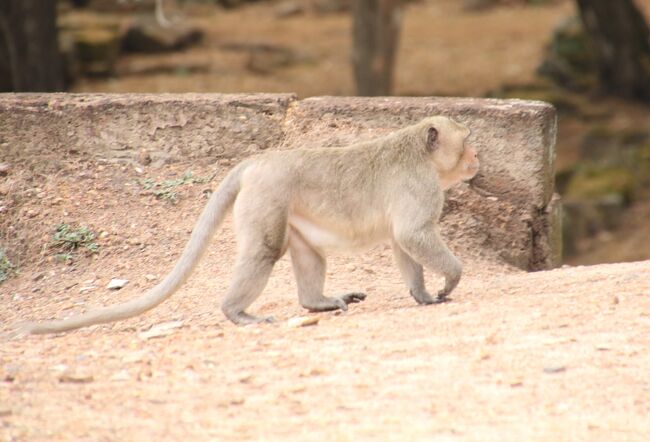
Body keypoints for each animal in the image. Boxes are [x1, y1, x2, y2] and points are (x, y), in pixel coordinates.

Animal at [14, 116, 479, 335]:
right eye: (468, 141)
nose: (477, 158)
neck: (420, 153)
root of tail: (257, 162)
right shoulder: (421, 186)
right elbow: (412, 235)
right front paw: (450, 281)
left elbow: (404, 243)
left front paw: (422, 294)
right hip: (265, 197)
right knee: (265, 249)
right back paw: (237, 313)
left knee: (306, 251)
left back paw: (316, 303)